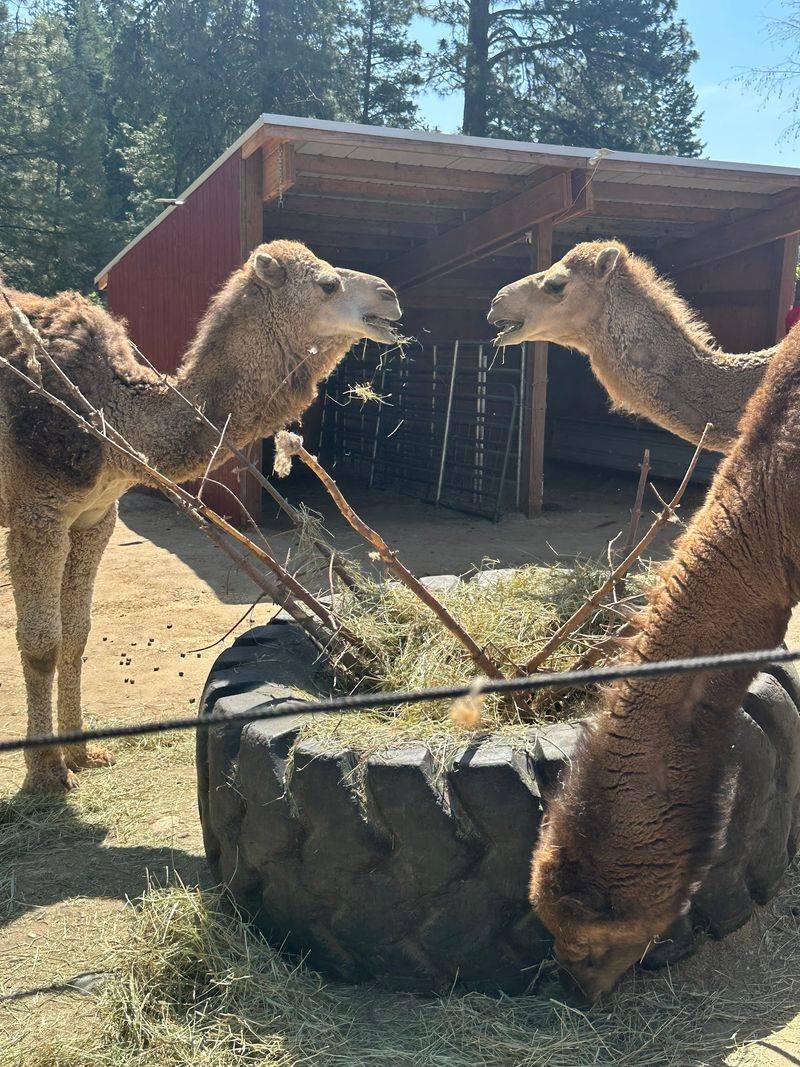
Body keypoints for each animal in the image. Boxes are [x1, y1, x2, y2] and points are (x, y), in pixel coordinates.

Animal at [0, 239, 401, 792]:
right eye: (327, 284)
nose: (391, 296)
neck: (110, 412)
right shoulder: (39, 509)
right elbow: (42, 643)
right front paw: (47, 775)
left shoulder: (95, 516)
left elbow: (76, 633)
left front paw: (83, 754)